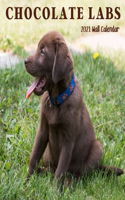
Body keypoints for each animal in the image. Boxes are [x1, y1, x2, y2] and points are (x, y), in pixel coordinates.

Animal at [24, 30, 123, 189]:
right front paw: (26, 182)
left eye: (43, 51)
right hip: (47, 154)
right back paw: (41, 171)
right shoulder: (42, 130)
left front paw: (54, 191)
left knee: (79, 175)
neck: (56, 101)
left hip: (97, 148)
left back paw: (69, 183)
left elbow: (61, 170)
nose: (25, 61)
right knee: (51, 169)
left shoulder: (68, 140)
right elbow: (33, 157)